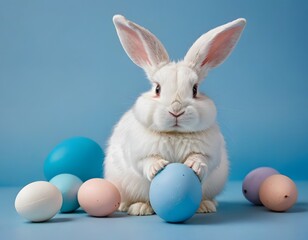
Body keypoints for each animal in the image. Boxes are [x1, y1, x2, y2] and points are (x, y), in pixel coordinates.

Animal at [104, 14, 247, 216]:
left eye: (195, 89)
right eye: (157, 88)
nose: (176, 110)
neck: (175, 134)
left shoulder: (210, 153)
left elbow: (203, 159)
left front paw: (194, 166)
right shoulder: (138, 153)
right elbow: (145, 161)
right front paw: (157, 167)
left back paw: (205, 206)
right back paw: (137, 208)